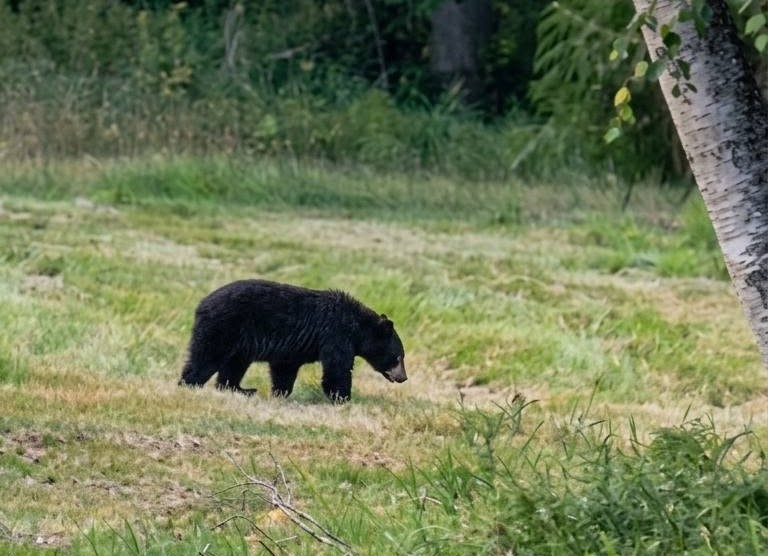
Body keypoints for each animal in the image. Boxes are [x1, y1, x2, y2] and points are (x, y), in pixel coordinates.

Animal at [178, 279, 407, 402]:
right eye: (398, 357)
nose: (403, 377)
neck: (357, 327)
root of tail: (201, 304)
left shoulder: (292, 350)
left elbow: (284, 369)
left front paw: (280, 393)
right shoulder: (335, 335)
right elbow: (337, 368)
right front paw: (343, 397)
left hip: (240, 343)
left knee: (234, 366)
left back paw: (242, 389)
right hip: (223, 328)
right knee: (205, 358)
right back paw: (189, 384)